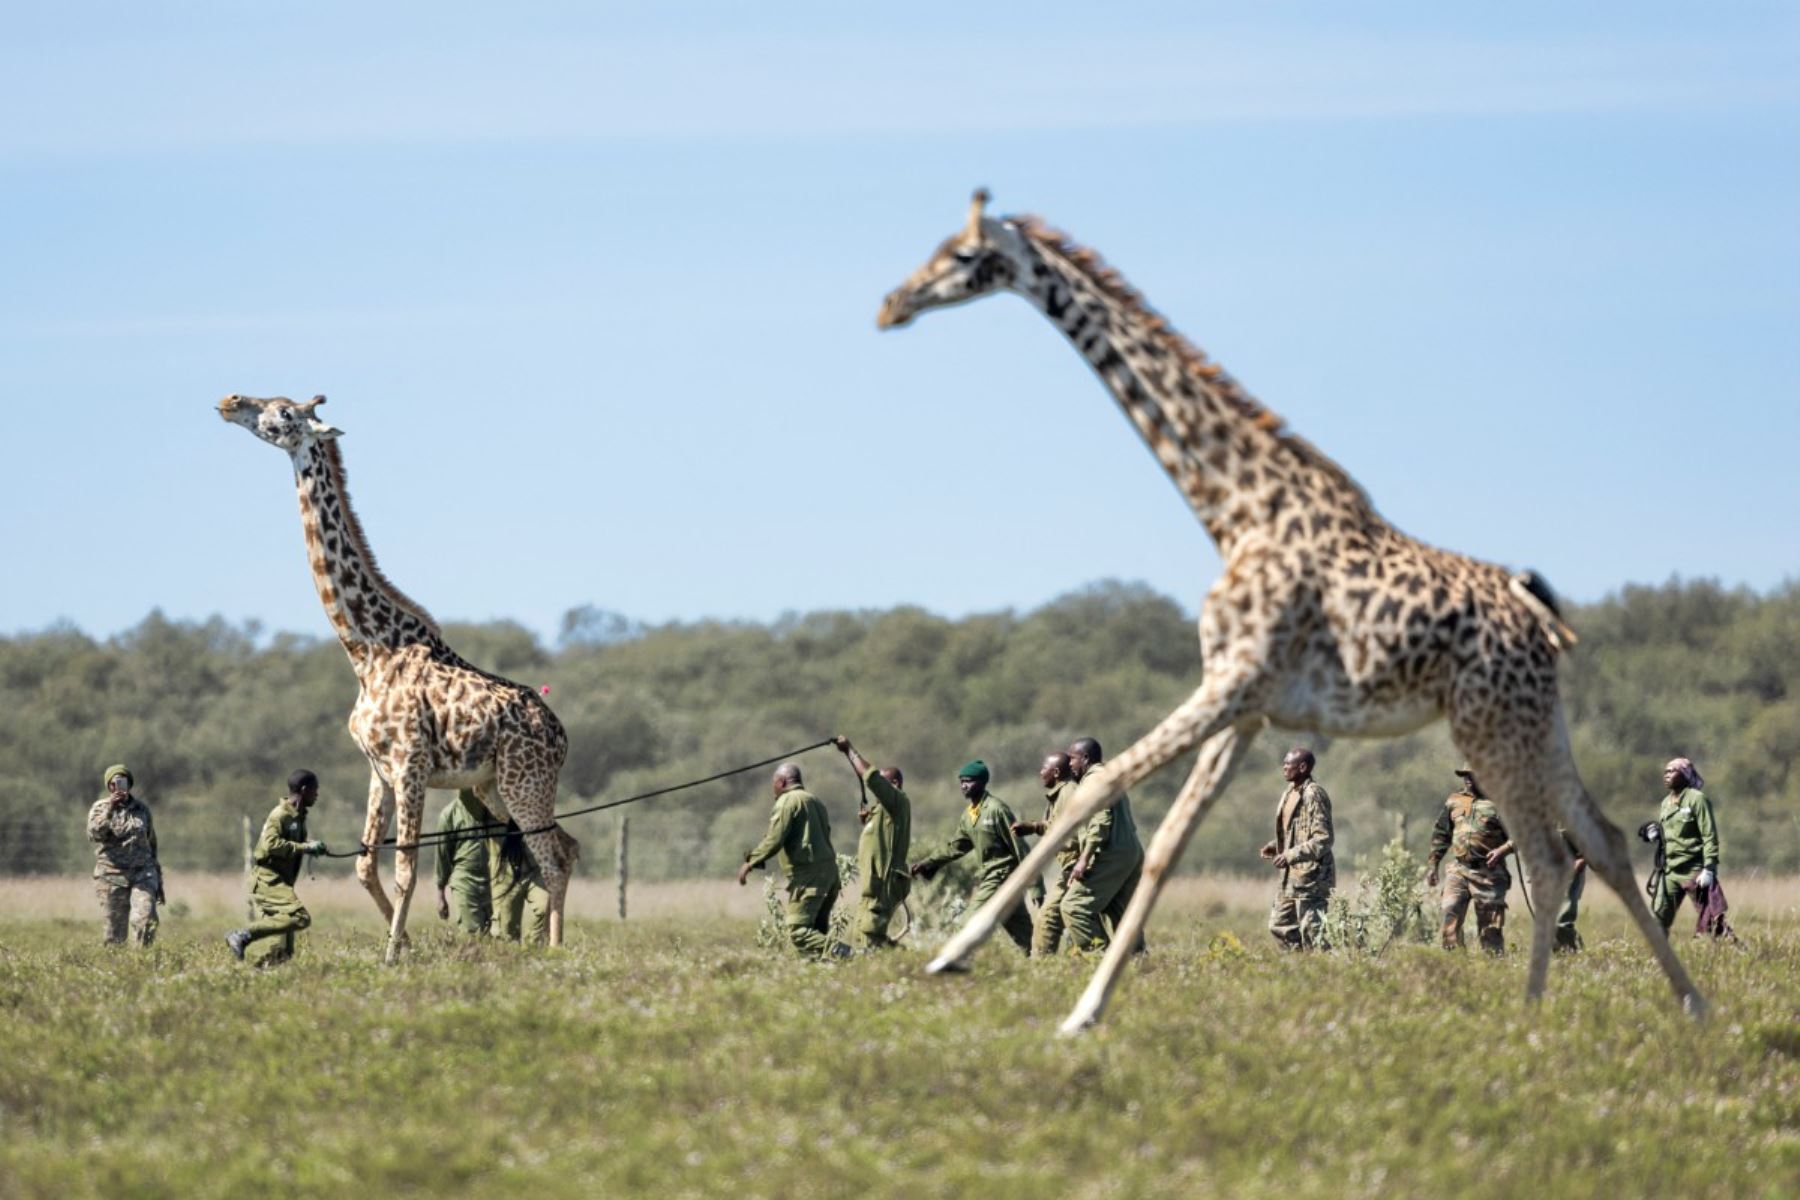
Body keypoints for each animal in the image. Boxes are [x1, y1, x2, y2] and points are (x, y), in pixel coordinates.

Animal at [217, 394, 578, 962]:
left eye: (283, 412)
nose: (230, 402)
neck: (367, 650)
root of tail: (561, 734)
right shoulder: (379, 769)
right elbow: (365, 865)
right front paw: (402, 943)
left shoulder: (411, 764)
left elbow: (406, 865)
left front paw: (391, 956)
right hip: (495, 786)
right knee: (564, 846)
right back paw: (543, 943)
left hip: (526, 781)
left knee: (555, 855)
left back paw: (556, 950)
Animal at [876, 191, 1705, 1032]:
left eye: (962, 256)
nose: (890, 305)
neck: (1238, 510)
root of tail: (1543, 621)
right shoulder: (1245, 710)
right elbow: (1166, 843)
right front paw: (1066, 999)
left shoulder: (1230, 685)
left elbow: (1099, 793)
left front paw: (983, 968)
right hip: (1533, 721)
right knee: (1600, 839)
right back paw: (1681, 1005)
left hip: (1491, 724)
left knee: (1547, 851)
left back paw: (1535, 1016)